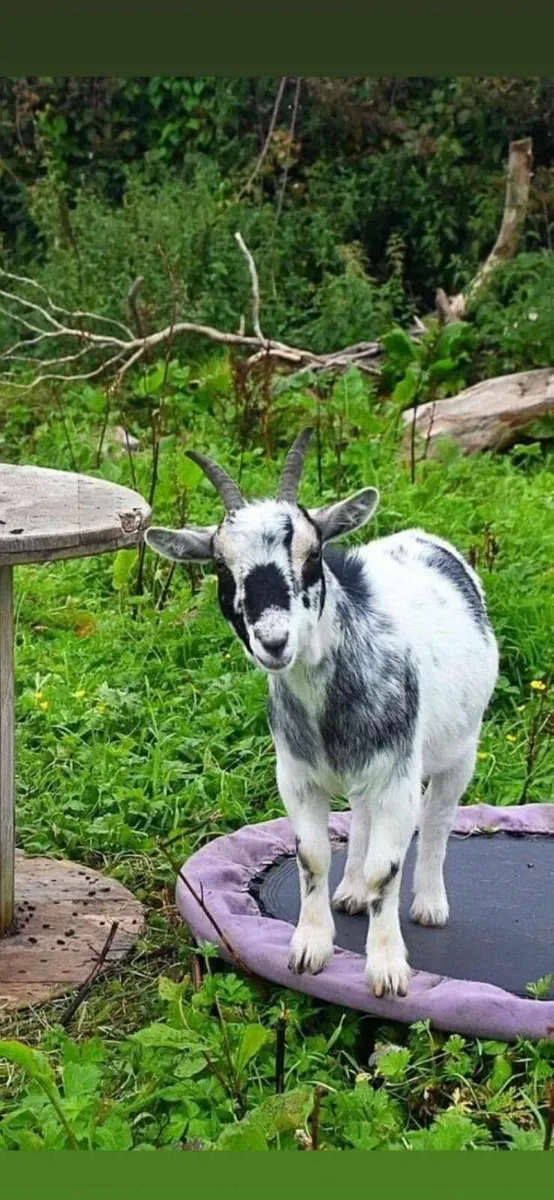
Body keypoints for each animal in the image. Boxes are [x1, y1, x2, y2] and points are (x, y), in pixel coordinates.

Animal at [145, 429, 499, 997]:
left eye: (313, 555)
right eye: (220, 566)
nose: (273, 641)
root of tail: (424, 539)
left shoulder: (397, 777)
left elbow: (386, 868)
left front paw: (387, 969)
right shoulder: (298, 777)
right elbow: (313, 856)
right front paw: (309, 949)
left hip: (461, 748)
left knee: (438, 817)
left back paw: (429, 904)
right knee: (359, 817)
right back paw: (350, 892)